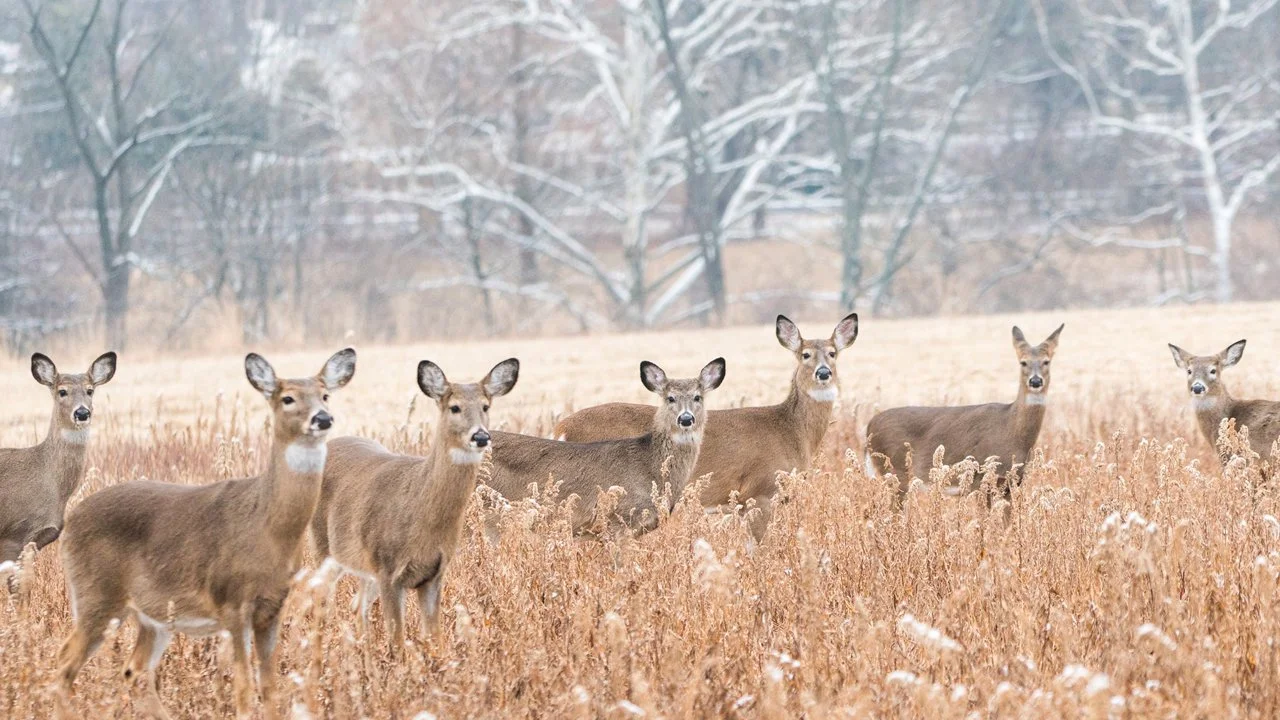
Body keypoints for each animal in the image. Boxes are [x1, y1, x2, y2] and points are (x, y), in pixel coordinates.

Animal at [53, 348, 356, 720]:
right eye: (287, 398)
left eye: (325, 394)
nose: (323, 418)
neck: (267, 527)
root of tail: (71, 520)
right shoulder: (232, 602)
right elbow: (244, 687)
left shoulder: (272, 607)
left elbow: (270, 687)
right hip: (96, 595)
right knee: (65, 665)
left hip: (152, 616)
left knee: (134, 671)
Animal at [311, 357, 519, 654]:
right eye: (455, 407)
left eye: (485, 406)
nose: (480, 437)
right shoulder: (388, 569)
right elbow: (397, 641)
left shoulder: (434, 574)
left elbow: (435, 638)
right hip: (324, 546)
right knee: (321, 599)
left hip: (362, 562)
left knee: (357, 605)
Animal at [554, 314, 857, 541]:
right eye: (805, 354)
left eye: (833, 353)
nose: (823, 373)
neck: (792, 431)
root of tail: (561, 426)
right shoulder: (760, 491)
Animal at [865, 324, 1064, 505]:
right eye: (1023, 362)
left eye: (1046, 361)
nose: (1035, 381)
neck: (1012, 430)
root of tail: (868, 427)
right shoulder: (981, 480)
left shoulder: (1011, 484)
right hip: (895, 472)